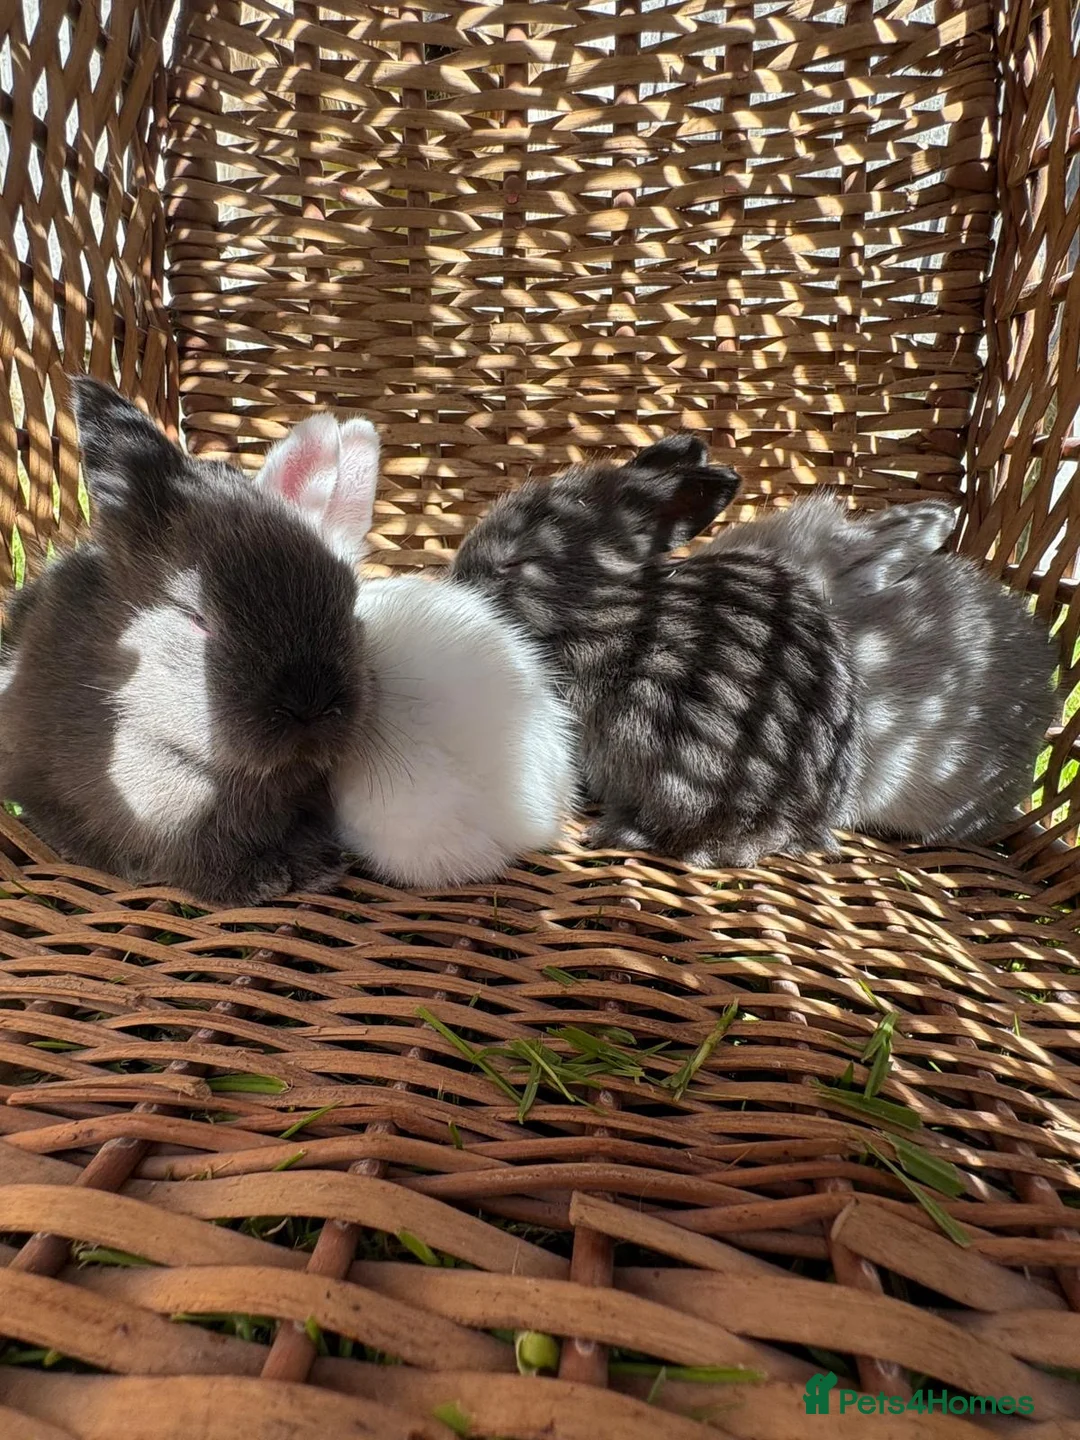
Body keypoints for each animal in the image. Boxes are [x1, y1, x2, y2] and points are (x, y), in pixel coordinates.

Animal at [0, 379, 367, 905]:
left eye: (347, 598)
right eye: (199, 619)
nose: (310, 706)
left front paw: (318, 868)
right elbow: (192, 859)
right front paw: (258, 885)